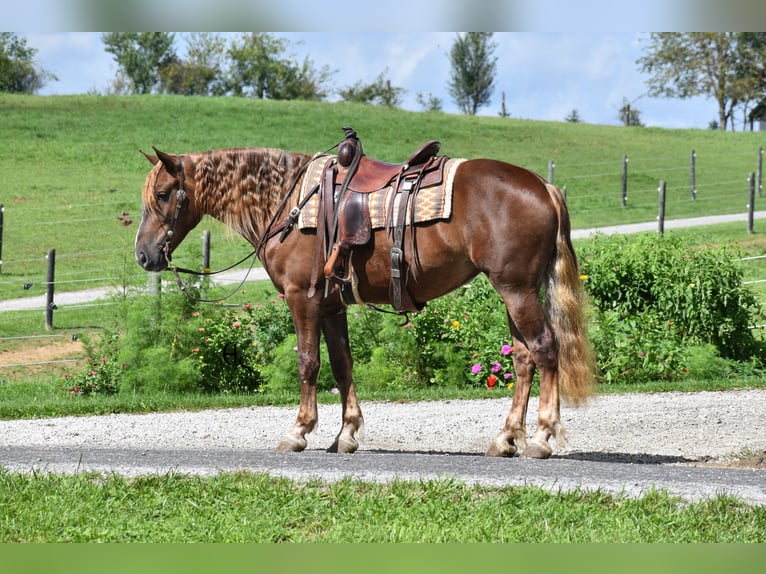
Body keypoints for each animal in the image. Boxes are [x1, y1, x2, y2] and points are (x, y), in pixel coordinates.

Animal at [134, 138, 595, 459]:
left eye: (163, 194)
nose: (143, 255)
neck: (288, 202)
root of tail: (543, 186)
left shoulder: (302, 299)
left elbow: (308, 363)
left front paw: (299, 432)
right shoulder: (331, 305)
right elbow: (342, 366)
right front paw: (346, 434)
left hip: (516, 290)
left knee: (545, 349)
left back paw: (541, 437)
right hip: (514, 291)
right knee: (523, 358)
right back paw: (505, 438)